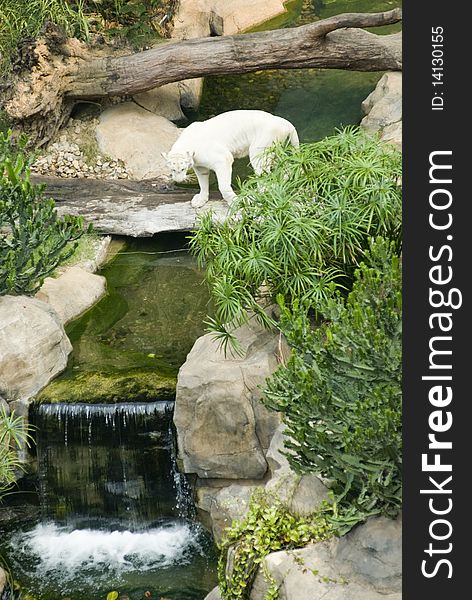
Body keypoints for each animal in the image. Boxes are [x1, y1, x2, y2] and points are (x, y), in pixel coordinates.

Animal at [162, 110, 300, 209]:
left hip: (260, 147)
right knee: (284, 166)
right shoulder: (200, 165)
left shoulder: (222, 159)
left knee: (265, 173)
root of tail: (286, 123)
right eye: (172, 169)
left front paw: (236, 202)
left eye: (183, 168)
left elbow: (223, 185)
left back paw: (255, 193)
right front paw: (200, 200)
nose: (178, 180)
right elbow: (202, 181)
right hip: (274, 149)